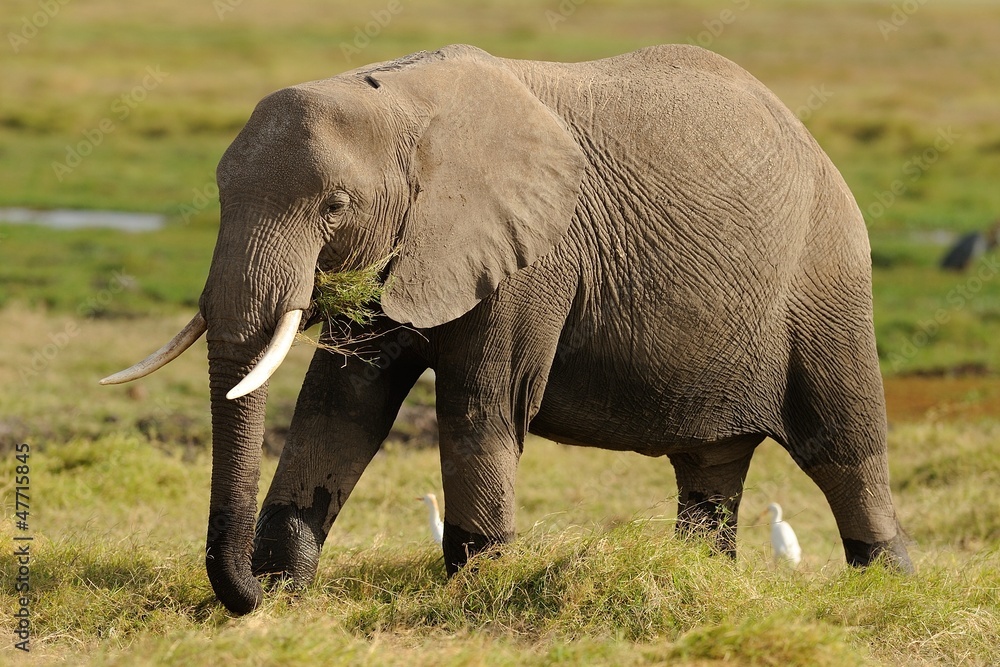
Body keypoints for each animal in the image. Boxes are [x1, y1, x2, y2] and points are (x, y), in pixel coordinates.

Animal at [103, 44, 913, 615]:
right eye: (217, 192)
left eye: (334, 205)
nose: (246, 591)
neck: (403, 103)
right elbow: (339, 409)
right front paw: (284, 596)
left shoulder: (534, 256)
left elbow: (481, 408)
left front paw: (478, 593)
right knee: (710, 468)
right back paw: (702, 580)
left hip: (827, 282)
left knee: (845, 451)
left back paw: (889, 589)